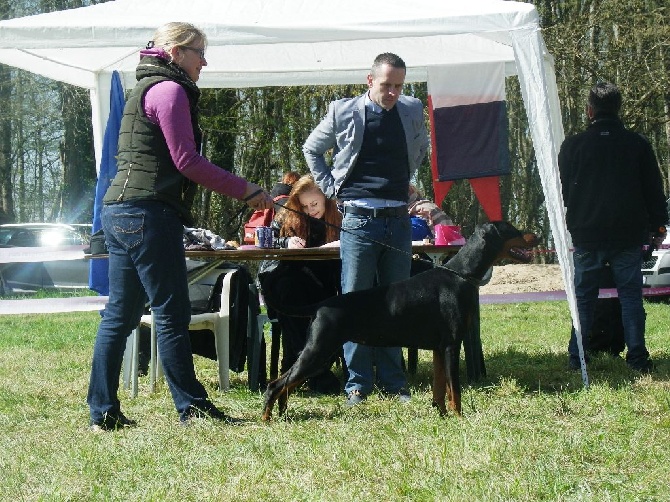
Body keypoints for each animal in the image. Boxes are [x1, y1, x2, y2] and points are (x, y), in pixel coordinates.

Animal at [260, 222, 540, 422]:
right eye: (512, 229)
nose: (536, 235)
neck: (461, 275)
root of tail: (321, 305)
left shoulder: (439, 349)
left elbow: (440, 388)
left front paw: (442, 415)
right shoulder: (452, 345)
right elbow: (455, 390)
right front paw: (459, 418)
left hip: (318, 354)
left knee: (285, 384)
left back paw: (282, 415)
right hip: (319, 352)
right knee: (276, 385)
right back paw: (266, 419)